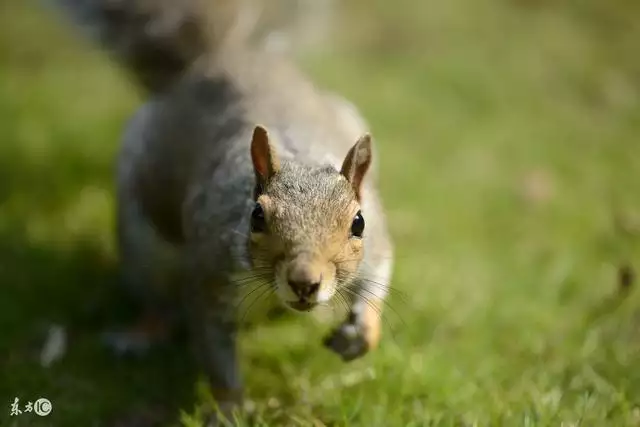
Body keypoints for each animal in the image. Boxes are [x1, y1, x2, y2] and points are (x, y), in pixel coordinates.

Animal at [48, 0, 396, 422]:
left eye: (358, 223)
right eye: (256, 216)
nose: (304, 282)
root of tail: (222, 57)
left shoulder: (376, 244)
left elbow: (377, 280)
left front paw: (360, 334)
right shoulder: (210, 277)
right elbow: (216, 355)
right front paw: (228, 409)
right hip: (142, 243)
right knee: (157, 300)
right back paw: (139, 335)